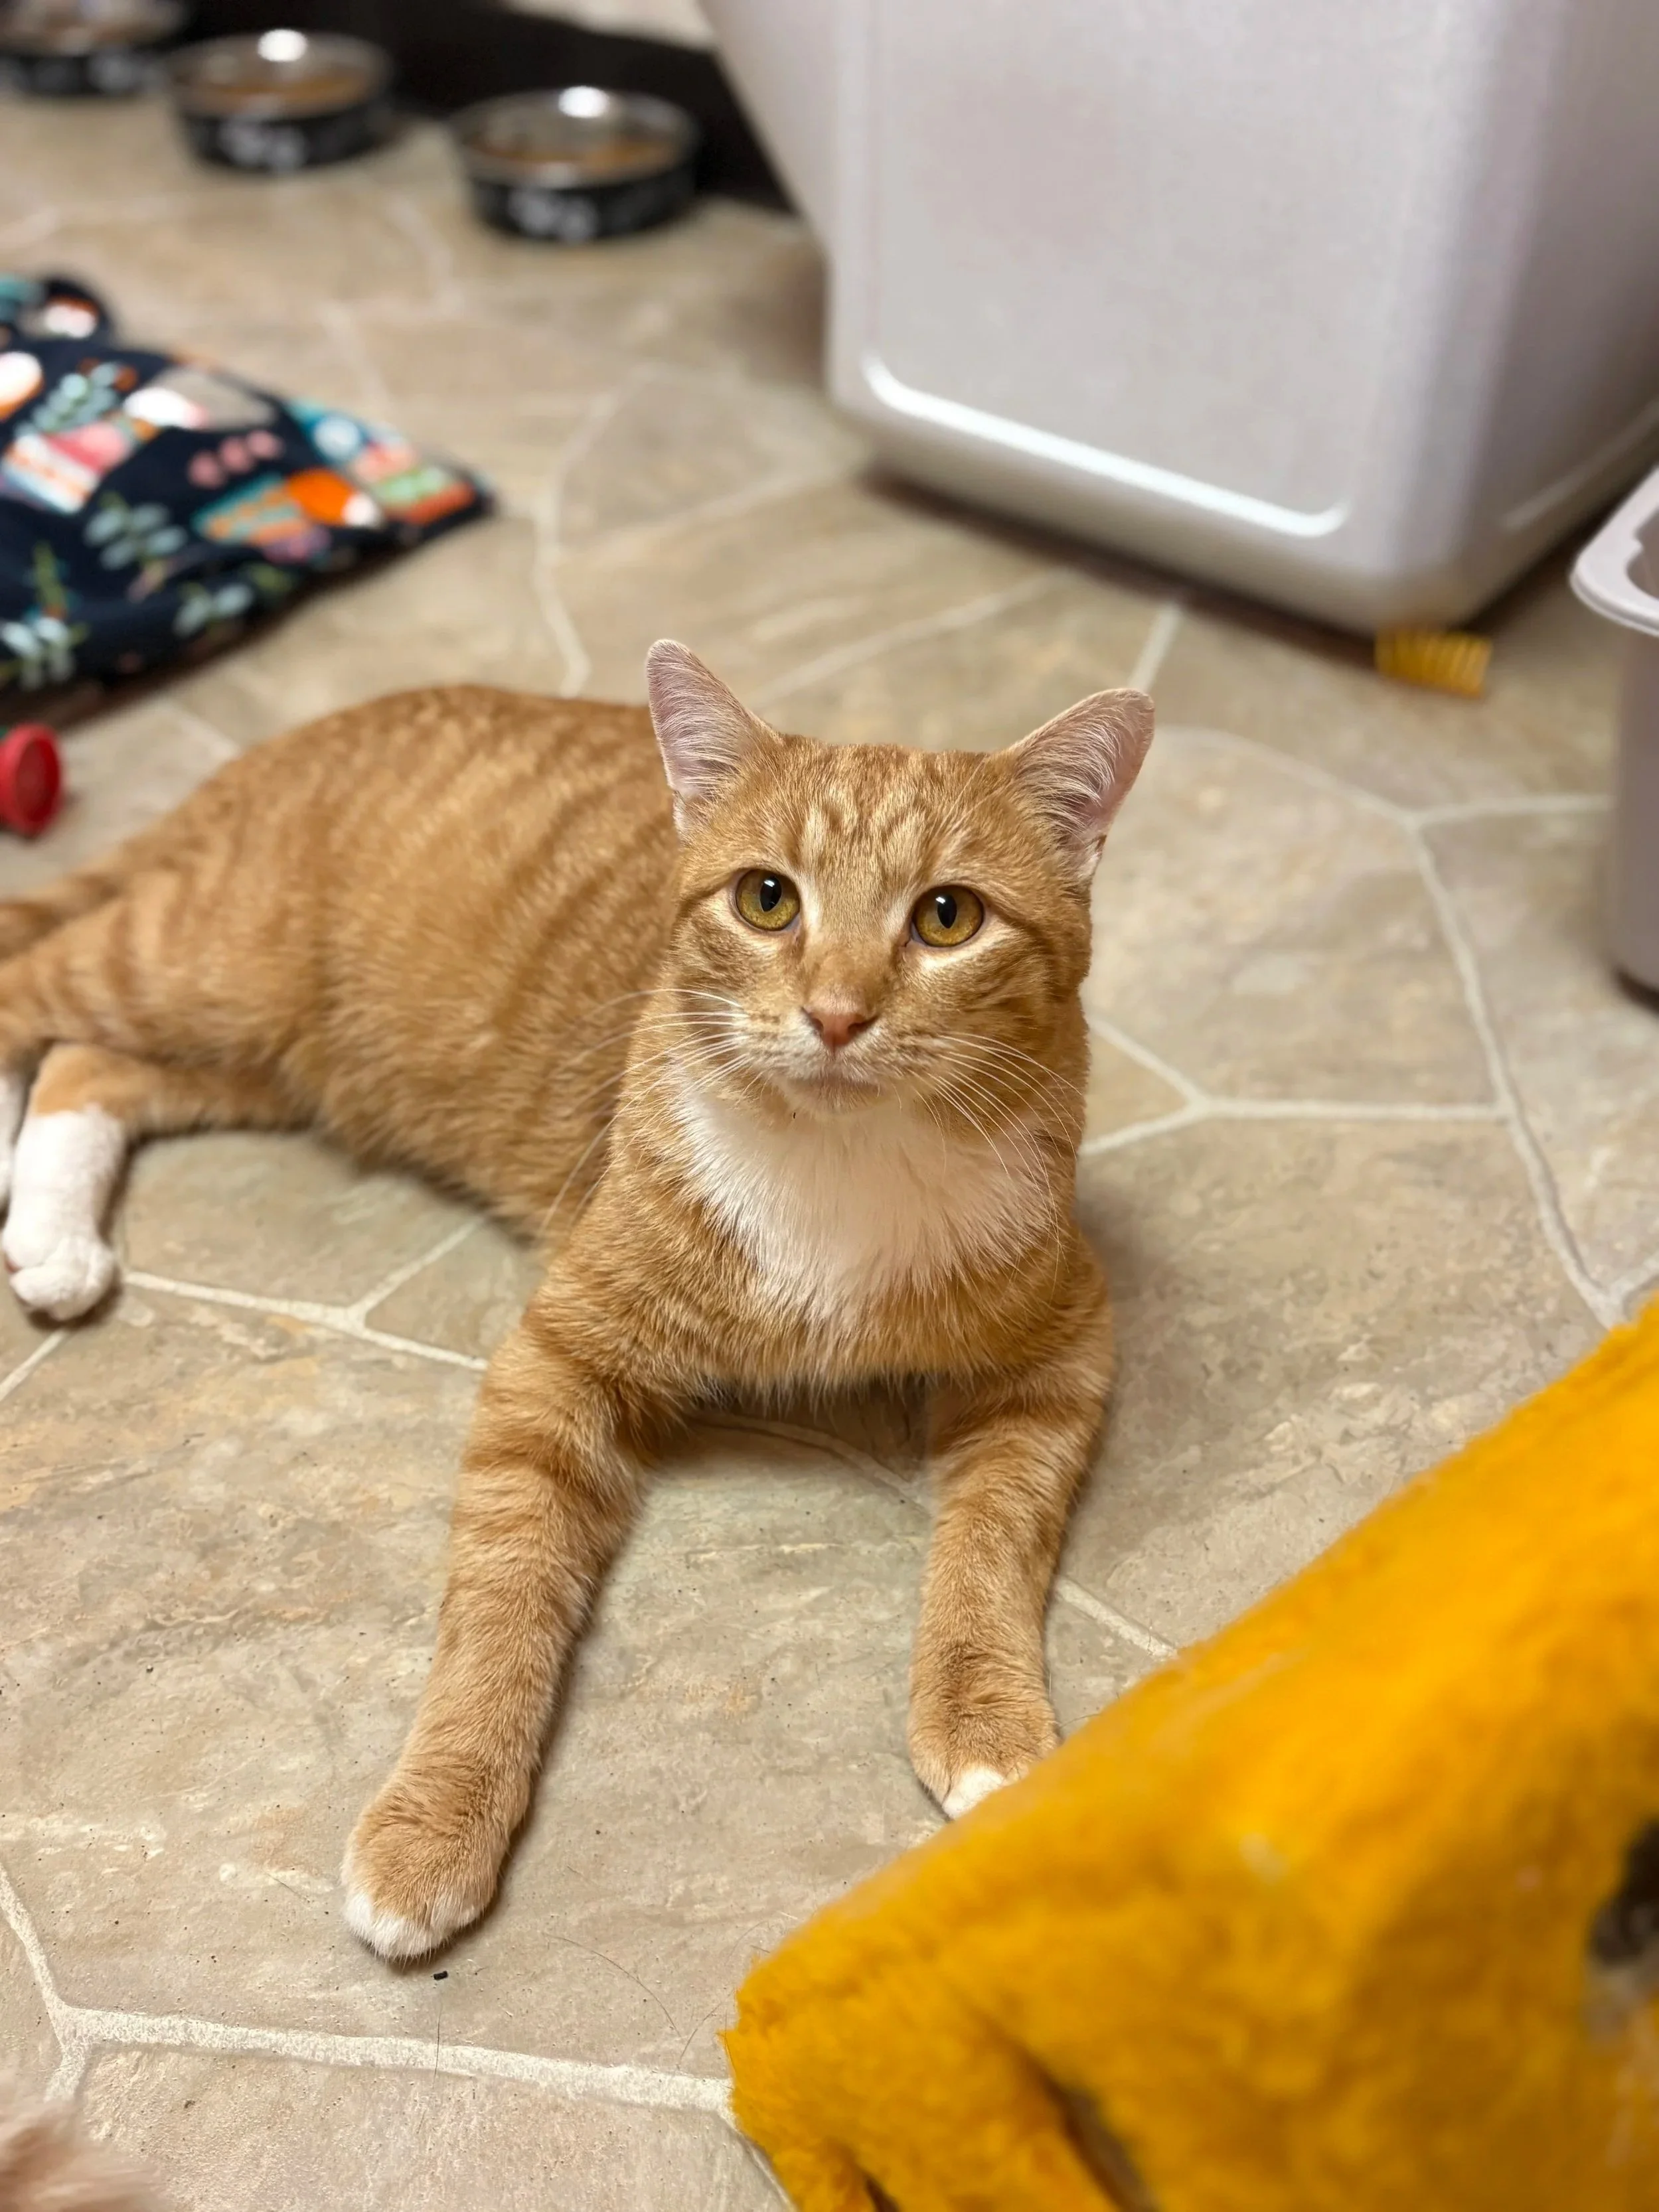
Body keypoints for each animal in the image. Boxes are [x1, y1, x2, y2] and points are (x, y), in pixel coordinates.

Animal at [0, 643, 1153, 1960]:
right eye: (768, 900)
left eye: (947, 916)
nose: (836, 1013)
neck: (836, 1169)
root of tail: (312, 730)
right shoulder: (553, 1370)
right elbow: (501, 1602)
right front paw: (434, 1822)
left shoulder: (1059, 1347)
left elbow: (990, 1542)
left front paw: (984, 1722)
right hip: (198, 969)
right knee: (25, 995)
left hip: (271, 1054)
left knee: (87, 1062)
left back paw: (50, 1233)